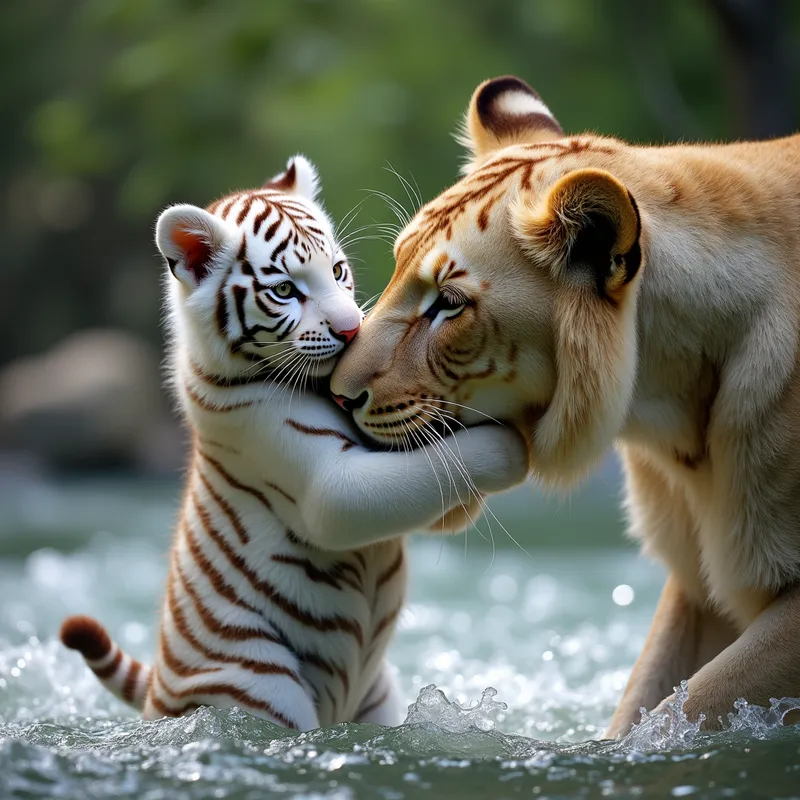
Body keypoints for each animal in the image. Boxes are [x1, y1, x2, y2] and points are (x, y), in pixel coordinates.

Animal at [59, 155, 529, 730]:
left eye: (339, 271)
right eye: (285, 291)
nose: (352, 331)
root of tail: (159, 692)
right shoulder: (325, 482)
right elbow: (428, 468)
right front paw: (513, 445)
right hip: (259, 689)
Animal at [329, 75, 800, 736]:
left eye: (449, 304)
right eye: (397, 266)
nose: (336, 392)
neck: (673, 420)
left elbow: (692, 704)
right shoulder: (697, 584)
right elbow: (649, 702)